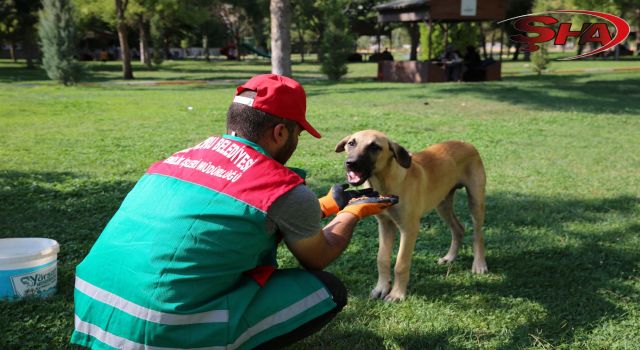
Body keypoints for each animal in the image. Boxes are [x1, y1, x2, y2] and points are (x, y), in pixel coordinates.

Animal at [336, 131, 484, 300]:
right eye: (351, 143)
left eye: (374, 147)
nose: (351, 163)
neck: (386, 183)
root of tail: (467, 143)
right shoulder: (385, 224)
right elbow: (382, 258)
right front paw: (381, 287)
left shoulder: (409, 228)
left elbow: (401, 263)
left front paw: (397, 294)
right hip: (442, 203)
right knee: (458, 228)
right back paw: (450, 257)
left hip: (476, 201)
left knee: (478, 234)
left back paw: (479, 264)